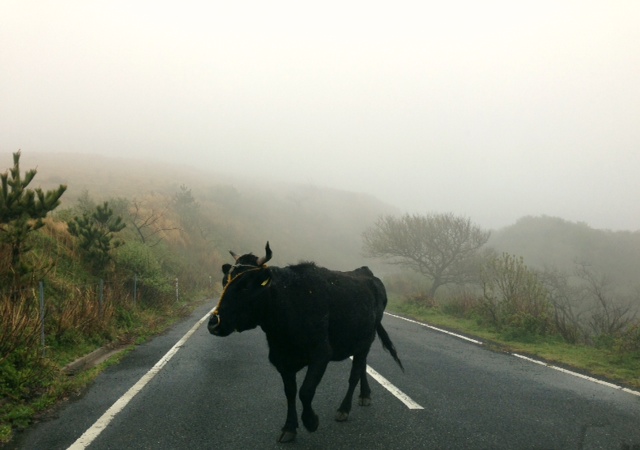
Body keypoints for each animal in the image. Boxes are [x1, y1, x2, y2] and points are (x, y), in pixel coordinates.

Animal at [208, 243, 402, 442]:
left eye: (245, 286)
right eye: (224, 281)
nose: (214, 323)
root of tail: (365, 271)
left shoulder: (321, 354)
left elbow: (305, 391)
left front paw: (311, 421)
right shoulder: (281, 359)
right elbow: (290, 392)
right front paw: (289, 427)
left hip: (366, 340)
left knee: (355, 373)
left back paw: (344, 409)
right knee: (361, 367)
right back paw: (365, 395)